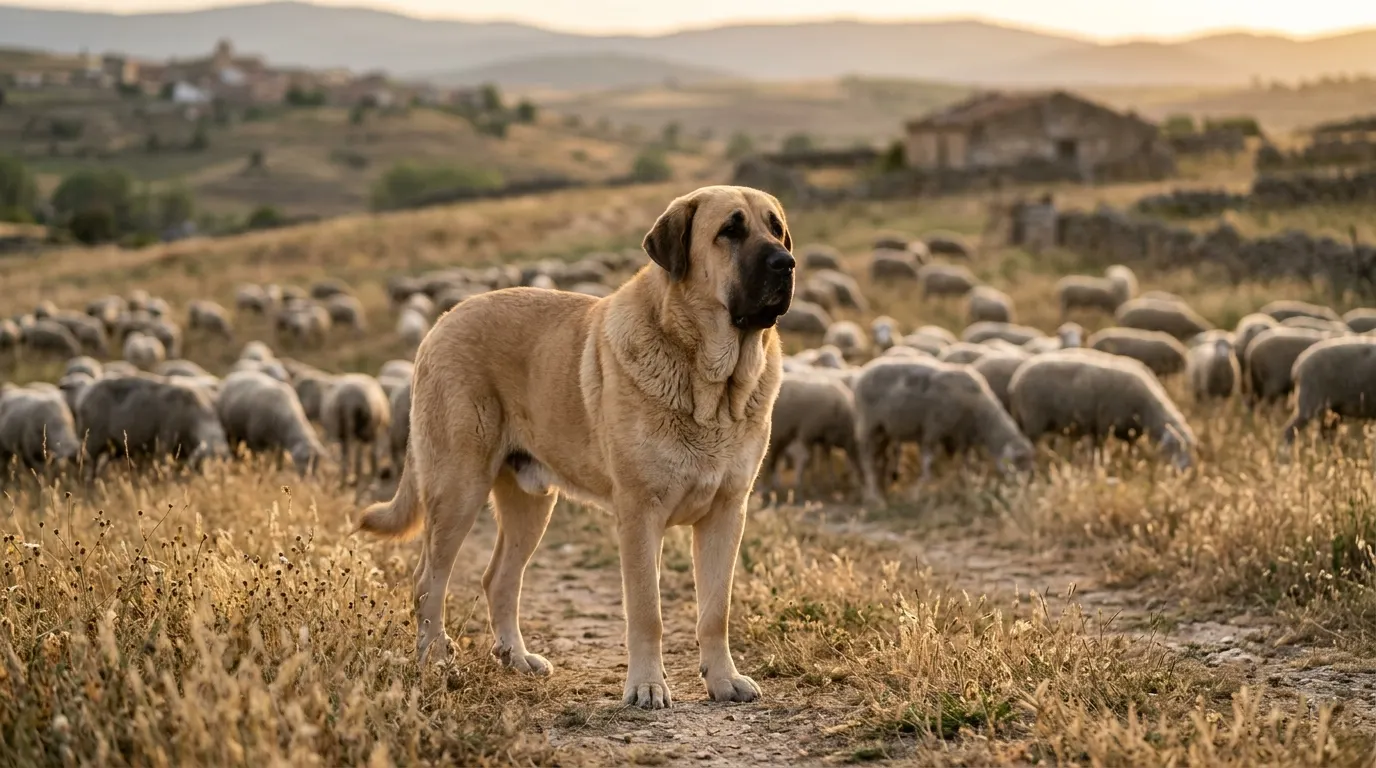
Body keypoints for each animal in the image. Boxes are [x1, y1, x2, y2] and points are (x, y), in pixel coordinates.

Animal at [758, 371, 861, 501]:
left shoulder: (824, 439)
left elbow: (825, 460)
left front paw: (830, 483)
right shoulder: (808, 434)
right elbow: (811, 462)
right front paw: (814, 487)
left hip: (785, 434)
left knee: (775, 457)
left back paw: (774, 486)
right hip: (778, 431)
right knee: (770, 457)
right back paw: (765, 487)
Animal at [853, 358, 1033, 503]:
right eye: (1018, 462)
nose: (1023, 491)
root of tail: (863, 373)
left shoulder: (961, 437)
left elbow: (964, 461)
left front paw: (965, 483)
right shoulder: (934, 428)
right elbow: (928, 459)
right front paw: (923, 487)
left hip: (883, 431)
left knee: (879, 458)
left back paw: (882, 491)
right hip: (869, 425)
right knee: (867, 460)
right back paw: (874, 495)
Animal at [1008, 349, 1195, 469]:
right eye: (1177, 448)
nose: (1186, 471)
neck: (1147, 408)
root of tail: (1016, 379)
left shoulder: (1129, 430)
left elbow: (1130, 448)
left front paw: (1130, 462)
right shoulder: (1103, 425)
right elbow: (1099, 449)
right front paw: (1098, 466)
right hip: (1033, 420)